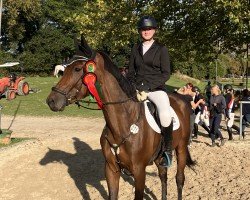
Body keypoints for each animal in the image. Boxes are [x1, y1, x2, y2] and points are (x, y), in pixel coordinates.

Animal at [46, 45, 195, 200]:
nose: (51, 101)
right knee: (163, 177)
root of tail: (183, 100)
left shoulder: (139, 172)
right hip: (160, 158)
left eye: (77, 69)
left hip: (181, 149)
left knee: (179, 179)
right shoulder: (111, 169)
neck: (123, 124)